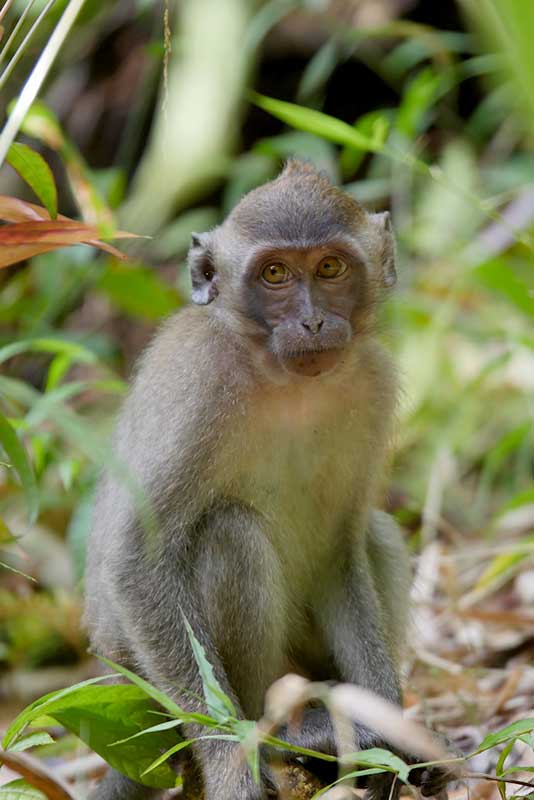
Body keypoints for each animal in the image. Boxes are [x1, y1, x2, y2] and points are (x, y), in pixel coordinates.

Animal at [86, 162, 450, 800]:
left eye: (330, 267)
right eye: (275, 273)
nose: (312, 320)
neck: (281, 377)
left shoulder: (374, 383)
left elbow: (340, 551)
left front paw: (393, 729)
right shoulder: (202, 384)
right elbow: (136, 559)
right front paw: (231, 762)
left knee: (375, 531)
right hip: (145, 701)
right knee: (229, 534)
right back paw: (279, 734)